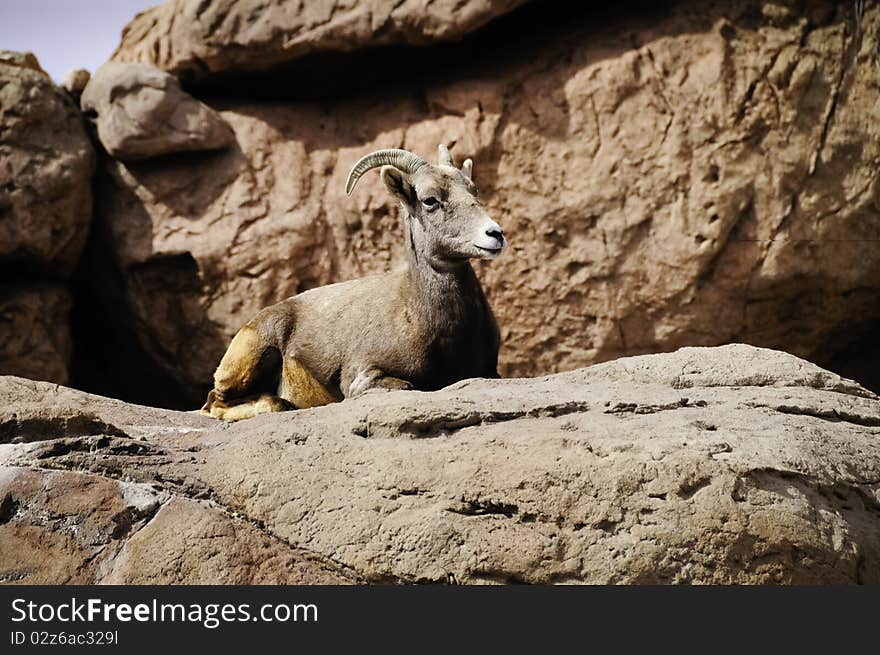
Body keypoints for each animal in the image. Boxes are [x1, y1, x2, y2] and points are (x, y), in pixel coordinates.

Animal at [199, 144, 502, 422]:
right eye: (430, 200)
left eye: (473, 191)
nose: (495, 234)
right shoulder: (362, 378)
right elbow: (406, 385)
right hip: (256, 353)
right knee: (217, 403)